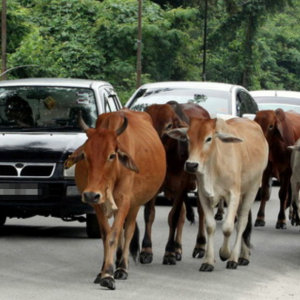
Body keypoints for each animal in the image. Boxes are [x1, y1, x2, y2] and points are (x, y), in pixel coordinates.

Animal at [64, 109, 166, 290]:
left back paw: (122, 267)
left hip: (135, 204)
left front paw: (108, 274)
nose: (90, 194)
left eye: (112, 156)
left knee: (129, 229)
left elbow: (115, 234)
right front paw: (102, 270)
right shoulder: (96, 204)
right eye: (86, 155)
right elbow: (106, 235)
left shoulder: (124, 201)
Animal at [141, 101, 210, 264]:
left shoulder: (182, 186)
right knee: (184, 215)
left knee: (201, 212)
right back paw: (178, 248)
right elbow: (149, 214)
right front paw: (146, 250)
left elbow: (173, 217)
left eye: (168, 126)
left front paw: (169, 253)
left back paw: (199, 246)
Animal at [168, 117, 268, 272]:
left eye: (209, 138)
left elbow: (228, 227)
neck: (214, 165)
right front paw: (208, 261)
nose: (191, 165)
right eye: (188, 138)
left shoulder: (234, 194)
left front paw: (225, 253)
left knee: (242, 222)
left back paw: (236, 258)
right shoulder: (203, 195)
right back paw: (243, 254)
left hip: (252, 187)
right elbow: (210, 226)